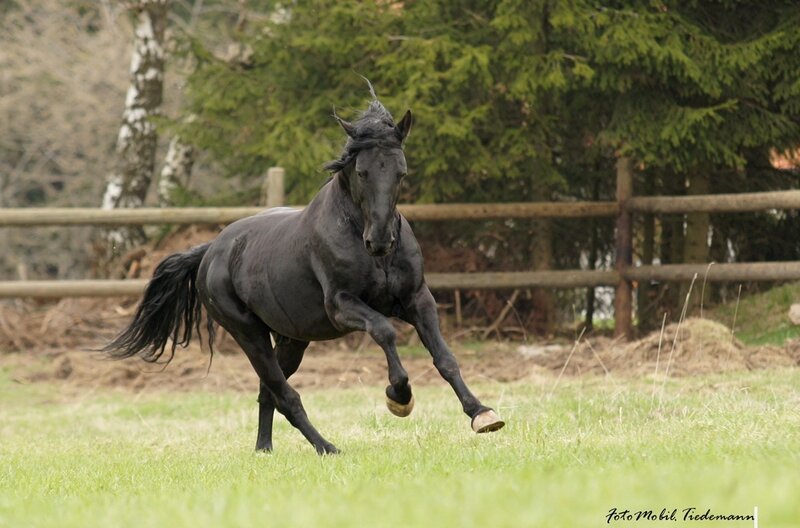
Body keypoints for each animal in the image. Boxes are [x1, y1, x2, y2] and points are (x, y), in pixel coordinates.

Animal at [104, 86, 505, 454]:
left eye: (401, 172)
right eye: (362, 172)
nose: (379, 241)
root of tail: (211, 251)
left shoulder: (416, 299)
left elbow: (445, 358)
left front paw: (482, 414)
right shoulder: (341, 305)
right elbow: (384, 330)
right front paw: (399, 397)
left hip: (292, 339)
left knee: (268, 392)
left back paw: (264, 449)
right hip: (249, 334)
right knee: (284, 394)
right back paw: (326, 447)